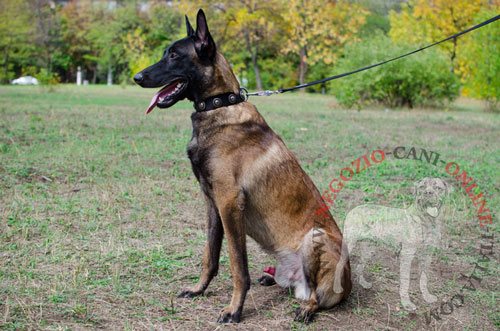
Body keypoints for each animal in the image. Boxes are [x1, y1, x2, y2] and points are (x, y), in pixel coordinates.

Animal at [134, 9, 352, 324]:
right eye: (166, 53)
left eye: (174, 55)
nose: (136, 77)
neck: (219, 105)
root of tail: (350, 283)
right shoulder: (212, 204)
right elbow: (210, 256)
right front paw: (198, 289)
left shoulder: (229, 203)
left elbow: (238, 266)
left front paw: (234, 309)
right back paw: (271, 278)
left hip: (315, 238)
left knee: (316, 297)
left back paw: (306, 307)